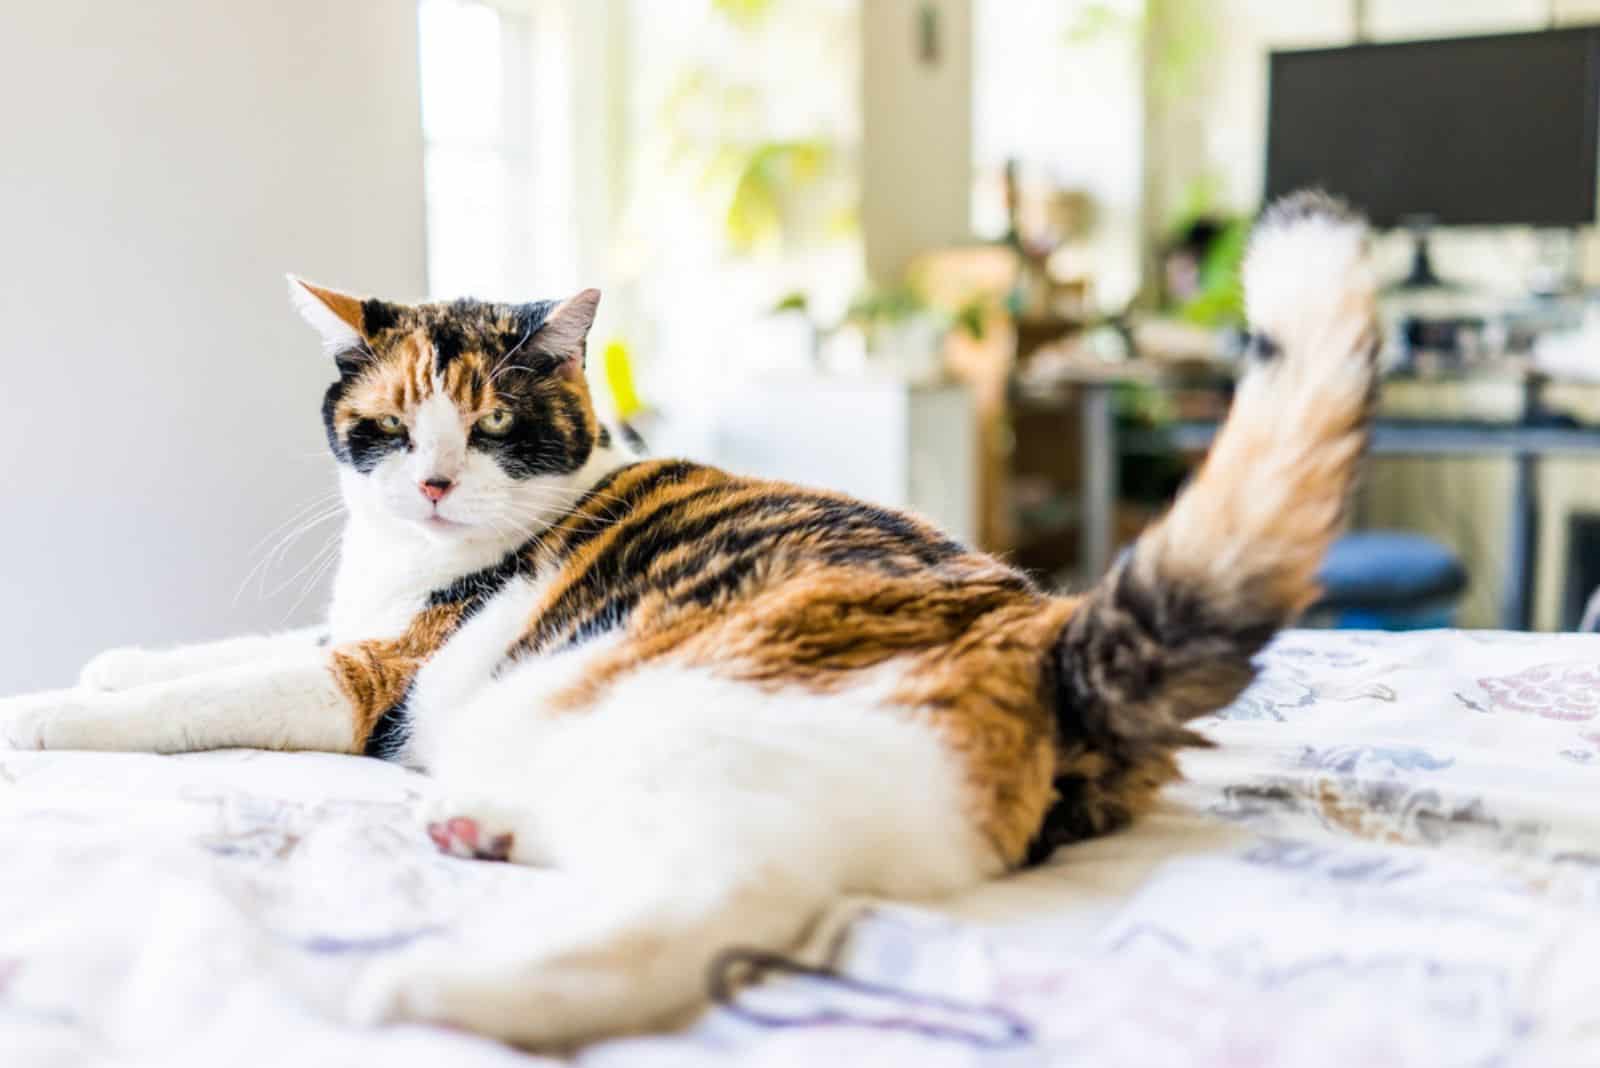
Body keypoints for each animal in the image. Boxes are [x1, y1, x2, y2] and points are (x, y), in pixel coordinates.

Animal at [0, 189, 1376, 1042]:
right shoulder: (355, 630)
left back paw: (431, 988)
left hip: (689, 724)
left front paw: (45, 715)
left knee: (723, 903)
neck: (401, 566)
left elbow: (216, 695)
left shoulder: (374, 675)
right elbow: (226, 649)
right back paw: (480, 831)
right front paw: (111, 660)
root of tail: (1050, 640)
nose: (435, 485)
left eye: (491, 428)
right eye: (389, 429)